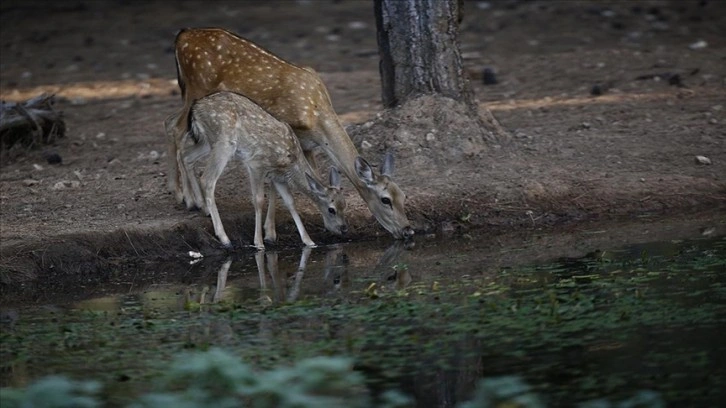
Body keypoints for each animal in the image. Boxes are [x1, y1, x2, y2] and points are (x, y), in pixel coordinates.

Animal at [185, 91, 350, 249]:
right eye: (331, 209)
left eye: (344, 204)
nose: (343, 229)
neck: (290, 162)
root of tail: (195, 108)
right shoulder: (256, 164)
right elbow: (259, 200)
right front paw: (259, 242)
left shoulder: (278, 177)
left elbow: (290, 202)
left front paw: (309, 241)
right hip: (224, 142)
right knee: (207, 179)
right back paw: (224, 238)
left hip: (208, 142)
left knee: (188, 156)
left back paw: (202, 207)